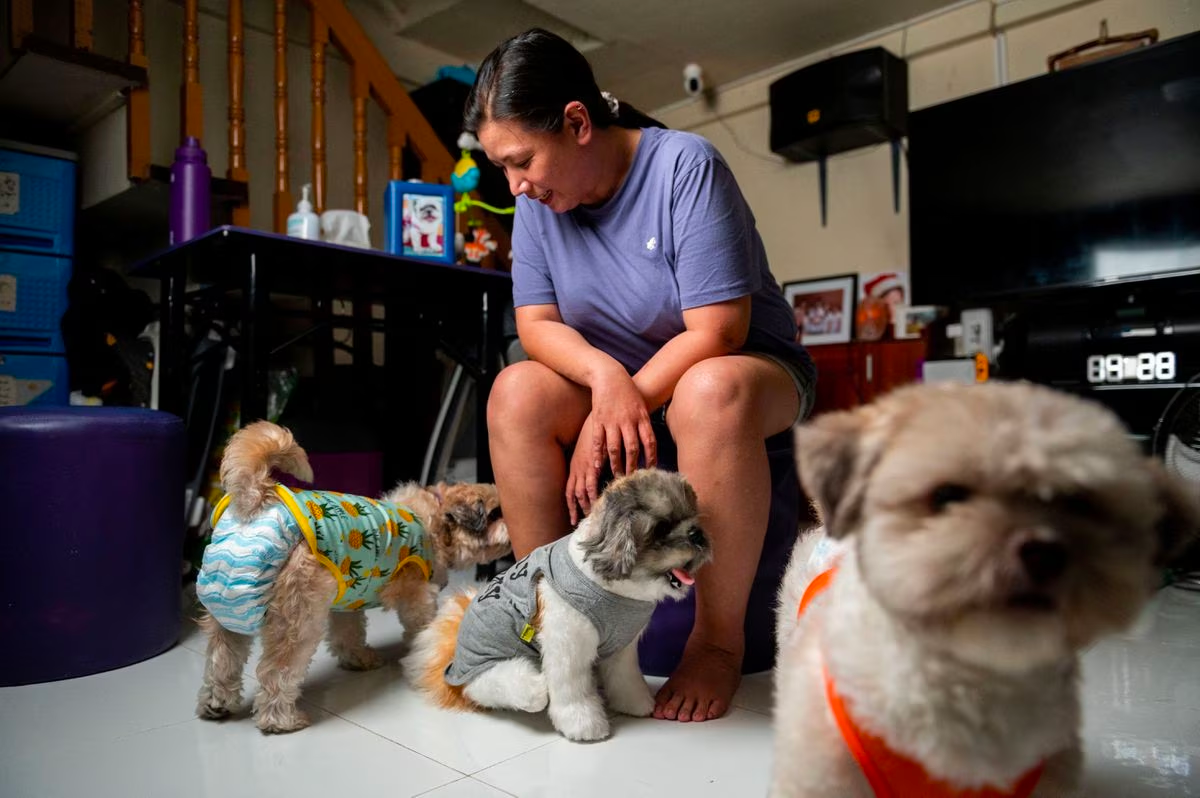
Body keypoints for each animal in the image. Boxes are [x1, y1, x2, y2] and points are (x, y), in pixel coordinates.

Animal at [403, 468, 710, 739]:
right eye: (662, 528)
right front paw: (584, 725)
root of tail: (452, 654)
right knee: (486, 687)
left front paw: (636, 704)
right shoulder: (567, 646)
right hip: (490, 667)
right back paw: (534, 688)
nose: (697, 535)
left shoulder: (622, 649)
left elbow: (626, 680)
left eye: (693, 516)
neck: (615, 590)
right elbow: (572, 691)